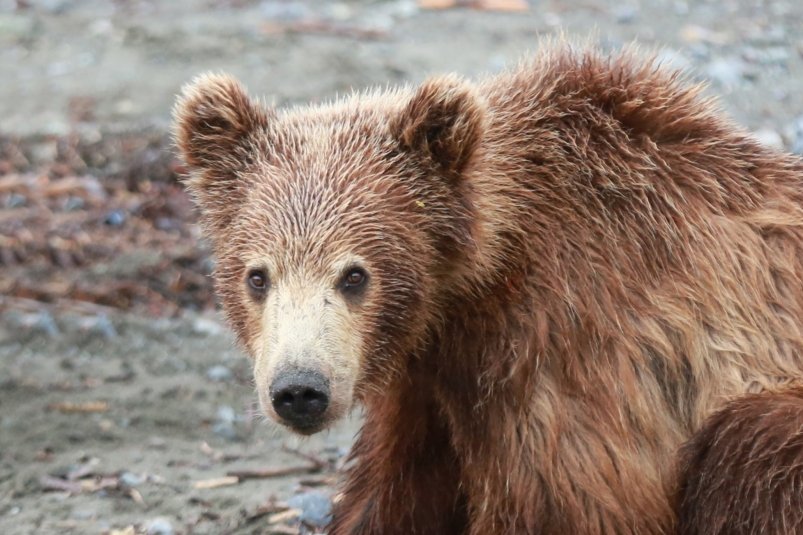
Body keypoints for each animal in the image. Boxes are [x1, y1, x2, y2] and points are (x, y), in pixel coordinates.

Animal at [174, 43, 803, 535]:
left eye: (355, 274)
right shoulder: (427, 386)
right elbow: (393, 493)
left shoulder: (563, 350)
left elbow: (563, 502)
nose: (300, 389)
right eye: (257, 275)